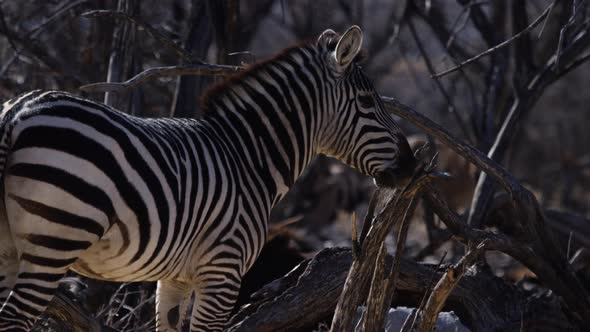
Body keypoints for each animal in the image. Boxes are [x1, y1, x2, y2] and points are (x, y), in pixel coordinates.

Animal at [0, 26, 416, 332]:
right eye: (367, 102)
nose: (410, 165)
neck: (249, 158)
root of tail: (17, 112)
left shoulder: (175, 278)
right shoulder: (223, 272)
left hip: (11, 250)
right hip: (56, 238)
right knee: (15, 318)